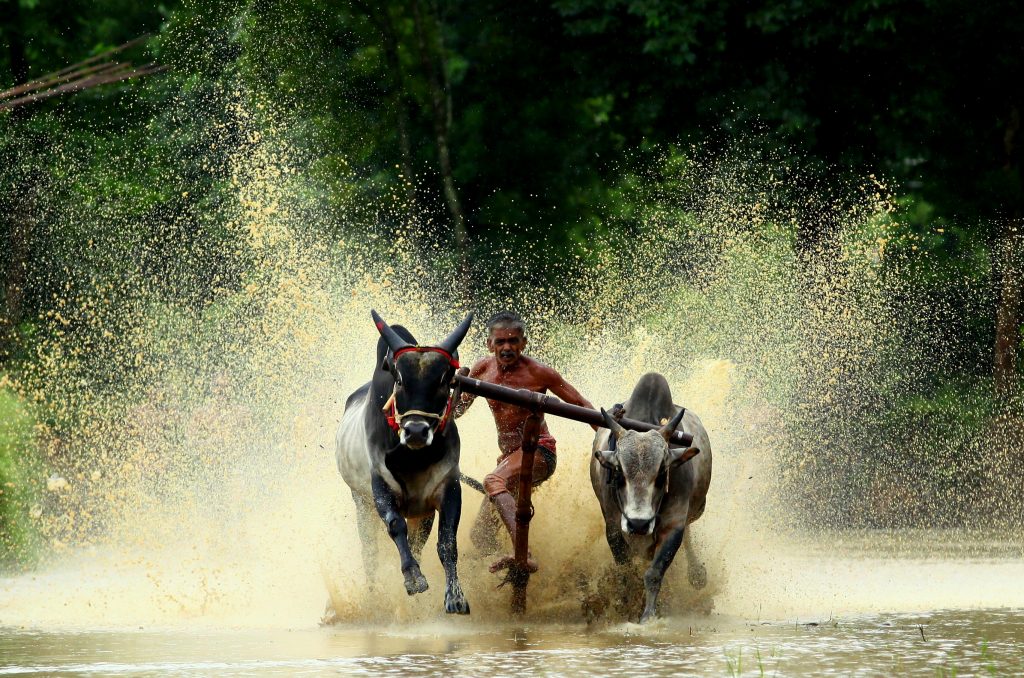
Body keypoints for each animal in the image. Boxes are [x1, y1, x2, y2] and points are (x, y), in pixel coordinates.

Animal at [333, 311, 473, 614]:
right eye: (399, 380)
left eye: (444, 379)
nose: (416, 431)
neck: (414, 457)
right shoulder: (380, 486)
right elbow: (396, 526)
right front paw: (413, 578)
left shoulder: (448, 487)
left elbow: (447, 542)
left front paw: (455, 597)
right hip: (361, 503)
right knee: (370, 552)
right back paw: (374, 597)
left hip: (423, 512)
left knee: (418, 542)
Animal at [593, 374, 712, 622]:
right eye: (619, 472)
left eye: (662, 473)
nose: (638, 524)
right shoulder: (613, 526)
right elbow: (626, 574)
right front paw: (624, 607)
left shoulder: (673, 523)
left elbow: (654, 573)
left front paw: (648, 616)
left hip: (696, 510)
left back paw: (697, 574)